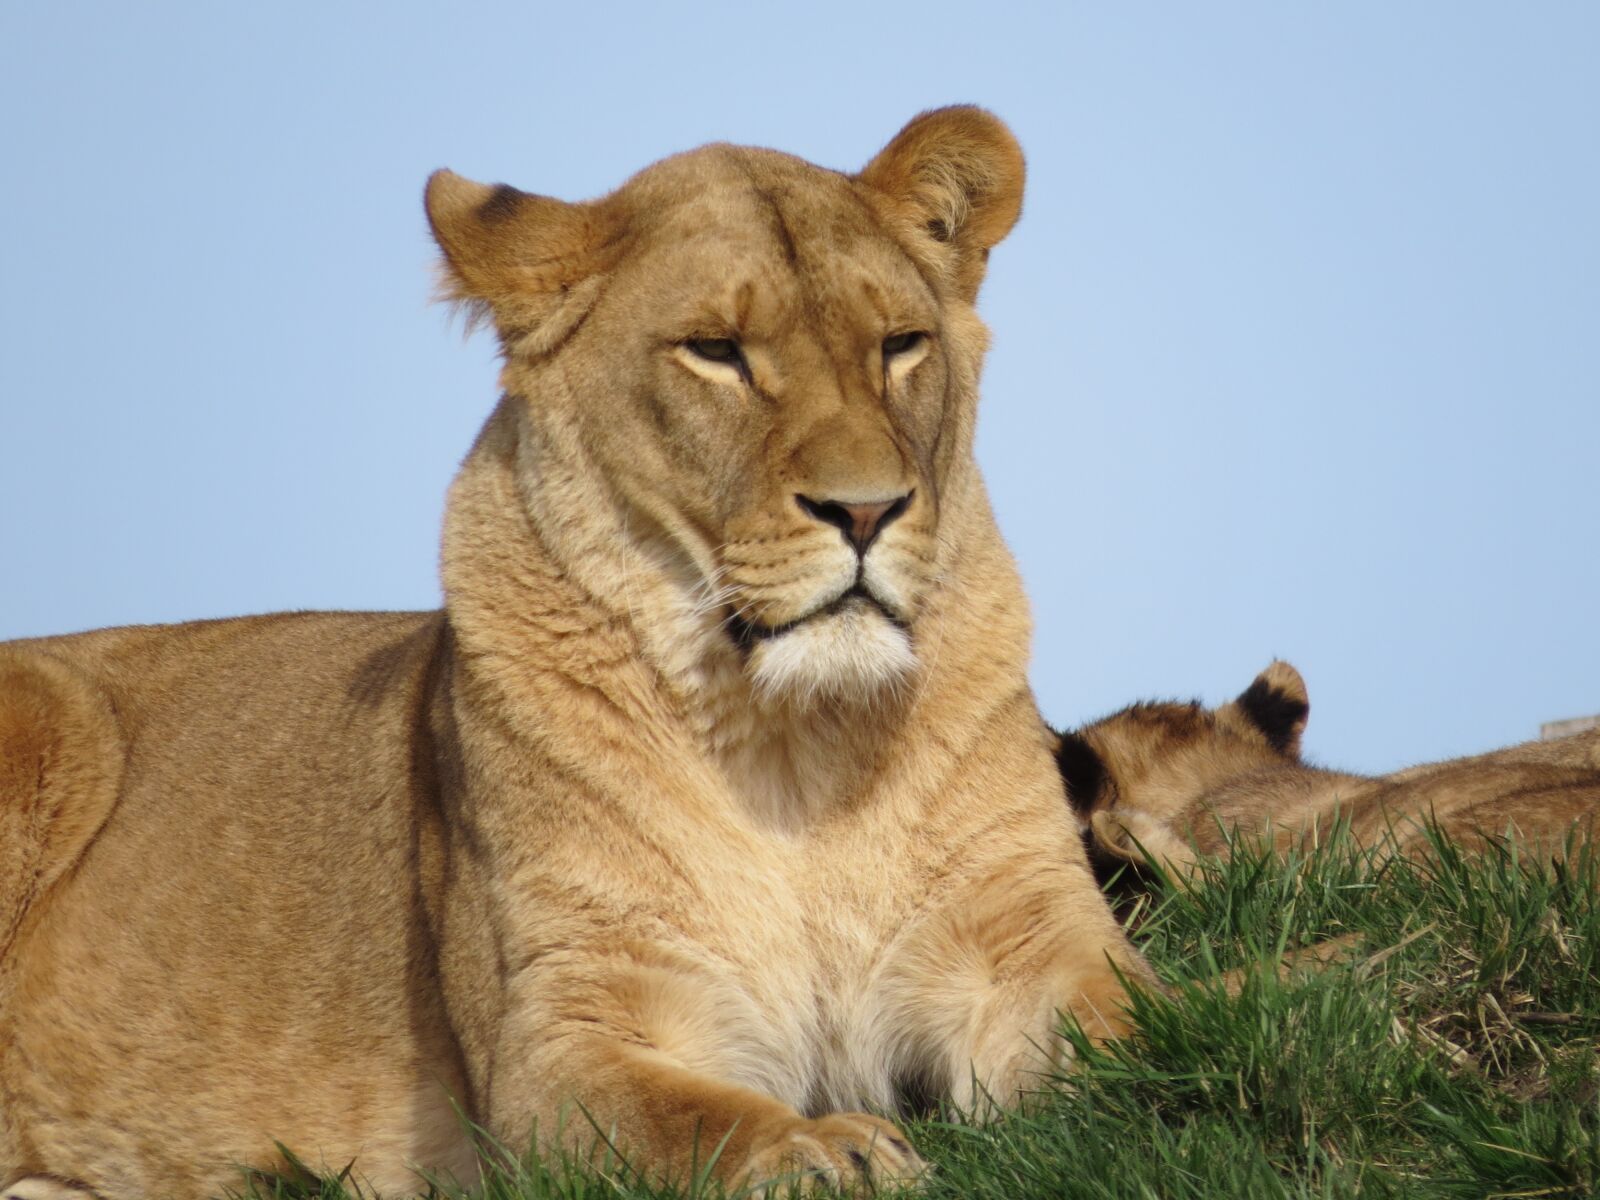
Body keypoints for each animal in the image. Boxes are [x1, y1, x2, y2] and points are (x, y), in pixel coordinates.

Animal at [0, 108, 1152, 1200]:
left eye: (900, 344)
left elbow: (1146, 1025)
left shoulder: (1025, 933)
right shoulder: (560, 1043)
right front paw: (831, 1154)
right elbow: (700, 1123)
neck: (795, 752)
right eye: (716, 351)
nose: (867, 510)